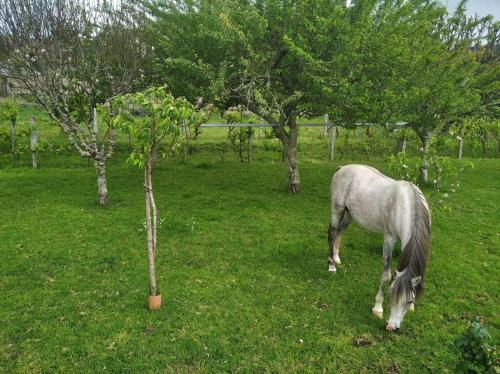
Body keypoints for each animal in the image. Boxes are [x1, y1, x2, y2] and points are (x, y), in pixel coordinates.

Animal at [328, 164, 430, 330]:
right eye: (391, 296)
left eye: (409, 300)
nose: (392, 327)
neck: (405, 204)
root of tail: (342, 168)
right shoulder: (389, 239)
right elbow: (386, 276)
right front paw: (377, 309)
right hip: (337, 210)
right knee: (332, 233)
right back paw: (331, 266)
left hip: (349, 214)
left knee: (339, 232)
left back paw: (336, 258)